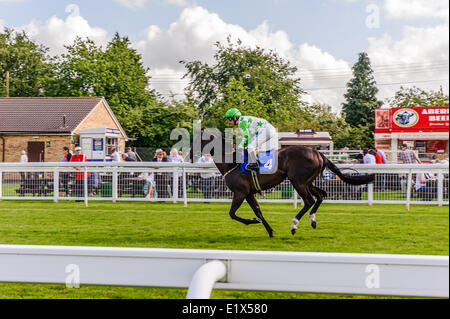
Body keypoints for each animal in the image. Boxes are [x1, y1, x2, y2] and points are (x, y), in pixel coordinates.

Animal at [199, 131, 374, 239]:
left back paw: (294, 225)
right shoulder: (249, 193)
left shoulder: (240, 192)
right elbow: (258, 211)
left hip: (297, 181)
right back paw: (312, 220)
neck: (231, 163)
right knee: (321, 195)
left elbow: (232, 214)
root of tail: (317, 152)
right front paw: (269, 231)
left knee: (309, 200)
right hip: (307, 181)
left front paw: (253, 221)